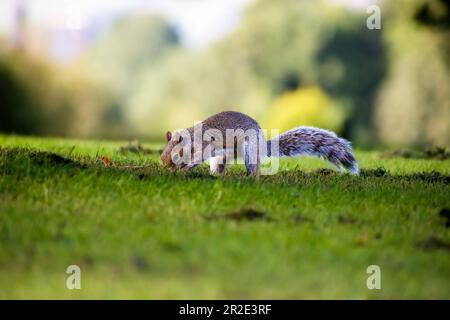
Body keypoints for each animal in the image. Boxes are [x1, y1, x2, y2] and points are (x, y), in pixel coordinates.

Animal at [160, 111, 360, 178]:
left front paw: (185, 167)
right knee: (220, 167)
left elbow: (197, 157)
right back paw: (217, 175)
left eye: (177, 153)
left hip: (250, 149)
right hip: (221, 156)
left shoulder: (205, 145)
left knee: (254, 169)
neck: (192, 138)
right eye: (162, 153)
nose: (166, 166)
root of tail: (264, 144)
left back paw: (248, 177)